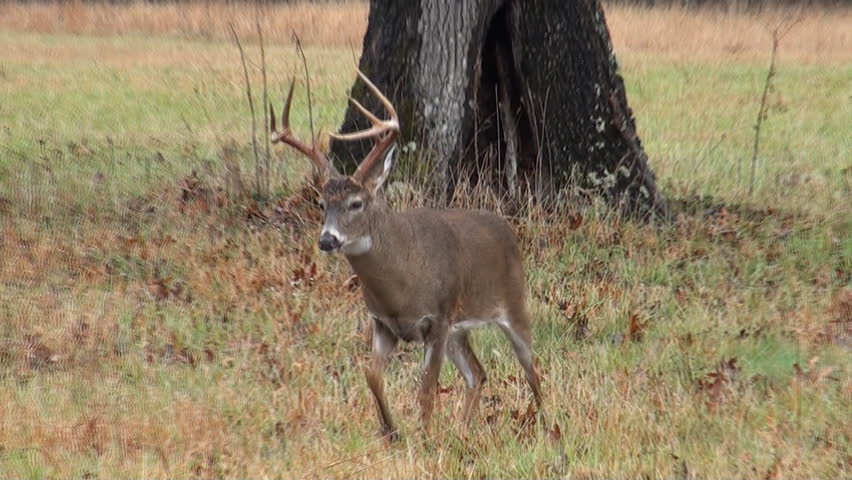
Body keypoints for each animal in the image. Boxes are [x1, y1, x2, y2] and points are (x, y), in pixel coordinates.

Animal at [269, 69, 543, 440]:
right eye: (322, 204)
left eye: (356, 203)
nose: (327, 240)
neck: (401, 284)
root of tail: (506, 228)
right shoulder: (384, 323)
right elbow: (372, 376)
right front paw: (392, 431)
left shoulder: (437, 318)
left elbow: (426, 389)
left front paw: (424, 438)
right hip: (459, 328)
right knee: (478, 372)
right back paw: (462, 432)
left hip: (512, 303)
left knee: (531, 369)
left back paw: (546, 425)